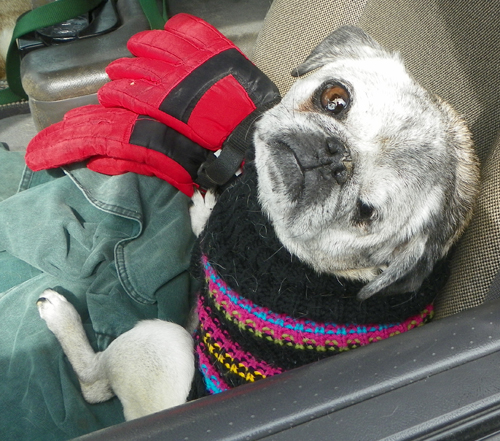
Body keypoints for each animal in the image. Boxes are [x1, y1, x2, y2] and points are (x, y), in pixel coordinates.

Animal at [36, 24, 480, 420]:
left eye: (365, 213)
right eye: (334, 99)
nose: (333, 156)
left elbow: (202, 227)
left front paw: (200, 208)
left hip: (161, 344)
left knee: (94, 383)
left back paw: (61, 318)